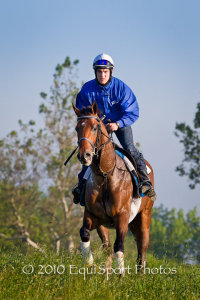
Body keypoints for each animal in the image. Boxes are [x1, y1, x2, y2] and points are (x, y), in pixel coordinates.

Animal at [73, 102, 155, 274]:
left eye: (94, 127)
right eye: (77, 128)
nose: (84, 155)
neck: (106, 176)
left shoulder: (122, 217)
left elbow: (120, 245)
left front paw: (121, 275)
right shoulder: (92, 215)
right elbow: (85, 234)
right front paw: (90, 264)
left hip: (144, 215)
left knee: (142, 247)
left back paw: (140, 274)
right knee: (108, 247)